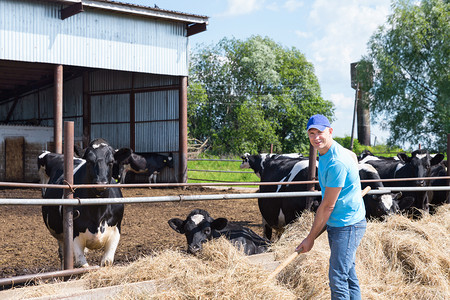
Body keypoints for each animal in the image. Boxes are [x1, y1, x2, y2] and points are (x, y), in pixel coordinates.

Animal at [42, 138, 124, 268]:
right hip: (60, 235)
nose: (101, 184)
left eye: (111, 161)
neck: (98, 210)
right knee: (62, 253)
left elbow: (107, 262)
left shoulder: (116, 230)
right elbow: (82, 264)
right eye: (89, 161)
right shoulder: (74, 235)